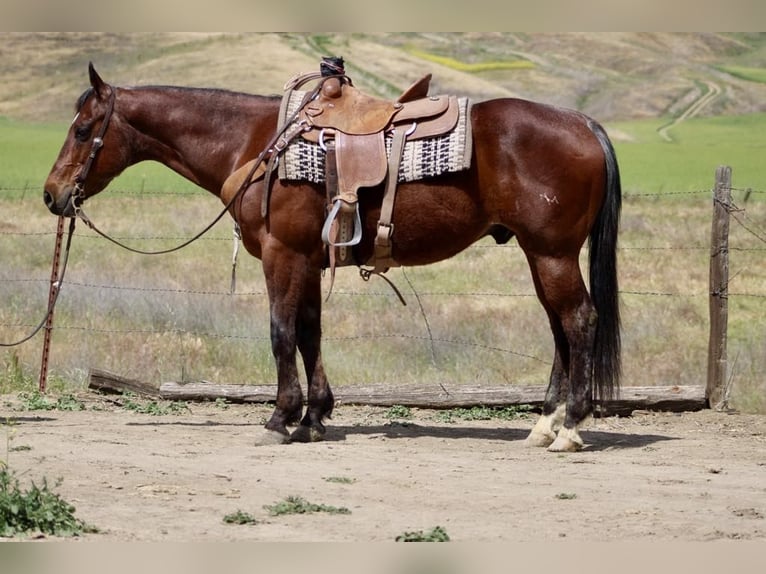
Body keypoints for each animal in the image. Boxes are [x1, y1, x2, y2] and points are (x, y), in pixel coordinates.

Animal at [44, 63, 622, 452]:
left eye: (81, 129)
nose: (53, 195)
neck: (255, 144)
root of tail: (583, 123)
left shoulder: (281, 255)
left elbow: (281, 332)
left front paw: (280, 418)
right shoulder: (307, 259)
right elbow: (309, 333)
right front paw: (315, 417)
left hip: (551, 253)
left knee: (579, 320)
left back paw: (571, 426)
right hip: (539, 253)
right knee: (559, 327)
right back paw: (544, 424)